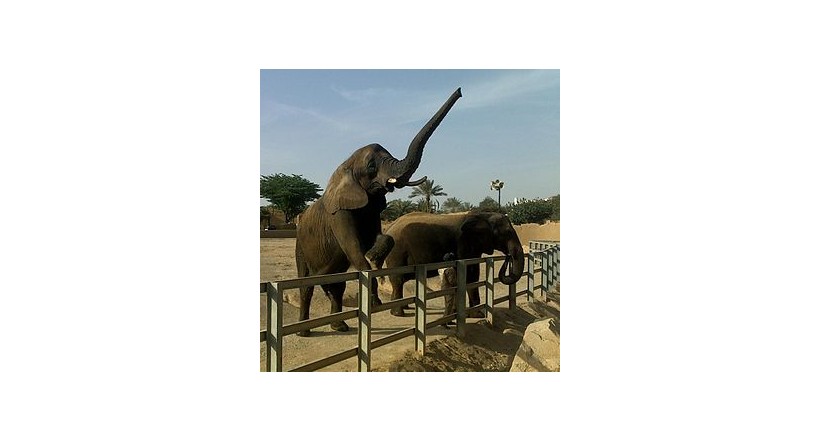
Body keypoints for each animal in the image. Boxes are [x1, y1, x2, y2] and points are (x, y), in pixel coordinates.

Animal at [294, 87, 463, 336]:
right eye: (372, 167)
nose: (460, 91)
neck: (345, 166)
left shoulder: (371, 207)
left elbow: (381, 237)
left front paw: (373, 255)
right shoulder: (339, 213)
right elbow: (353, 247)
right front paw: (374, 302)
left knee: (335, 285)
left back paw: (340, 326)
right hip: (301, 246)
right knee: (306, 284)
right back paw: (304, 331)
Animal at [373, 211, 525, 317]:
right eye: (507, 233)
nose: (508, 257)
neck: (483, 215)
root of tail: (389, 227)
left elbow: (473, 273)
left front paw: (476, 313)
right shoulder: (463, 244)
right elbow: (470, 274)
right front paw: (477, 315)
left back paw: (405, 308)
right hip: (397, 253)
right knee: (398, 280)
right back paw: (399, 313)